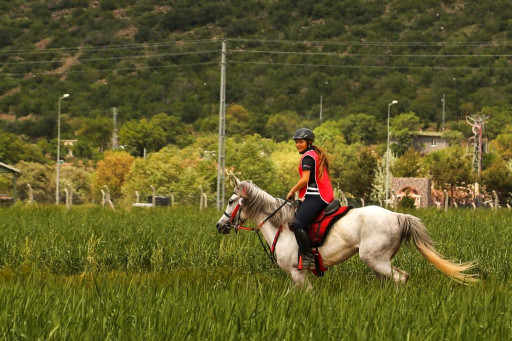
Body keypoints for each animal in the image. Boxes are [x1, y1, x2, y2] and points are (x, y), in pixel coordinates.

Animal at [215, 178, 476, 286]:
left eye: (231, 201)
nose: (219, 225)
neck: (281, 225)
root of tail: (397, 216)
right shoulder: (300, 276)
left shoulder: (298, 273)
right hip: (379, 262)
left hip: (375, 259)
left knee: (402, 278)